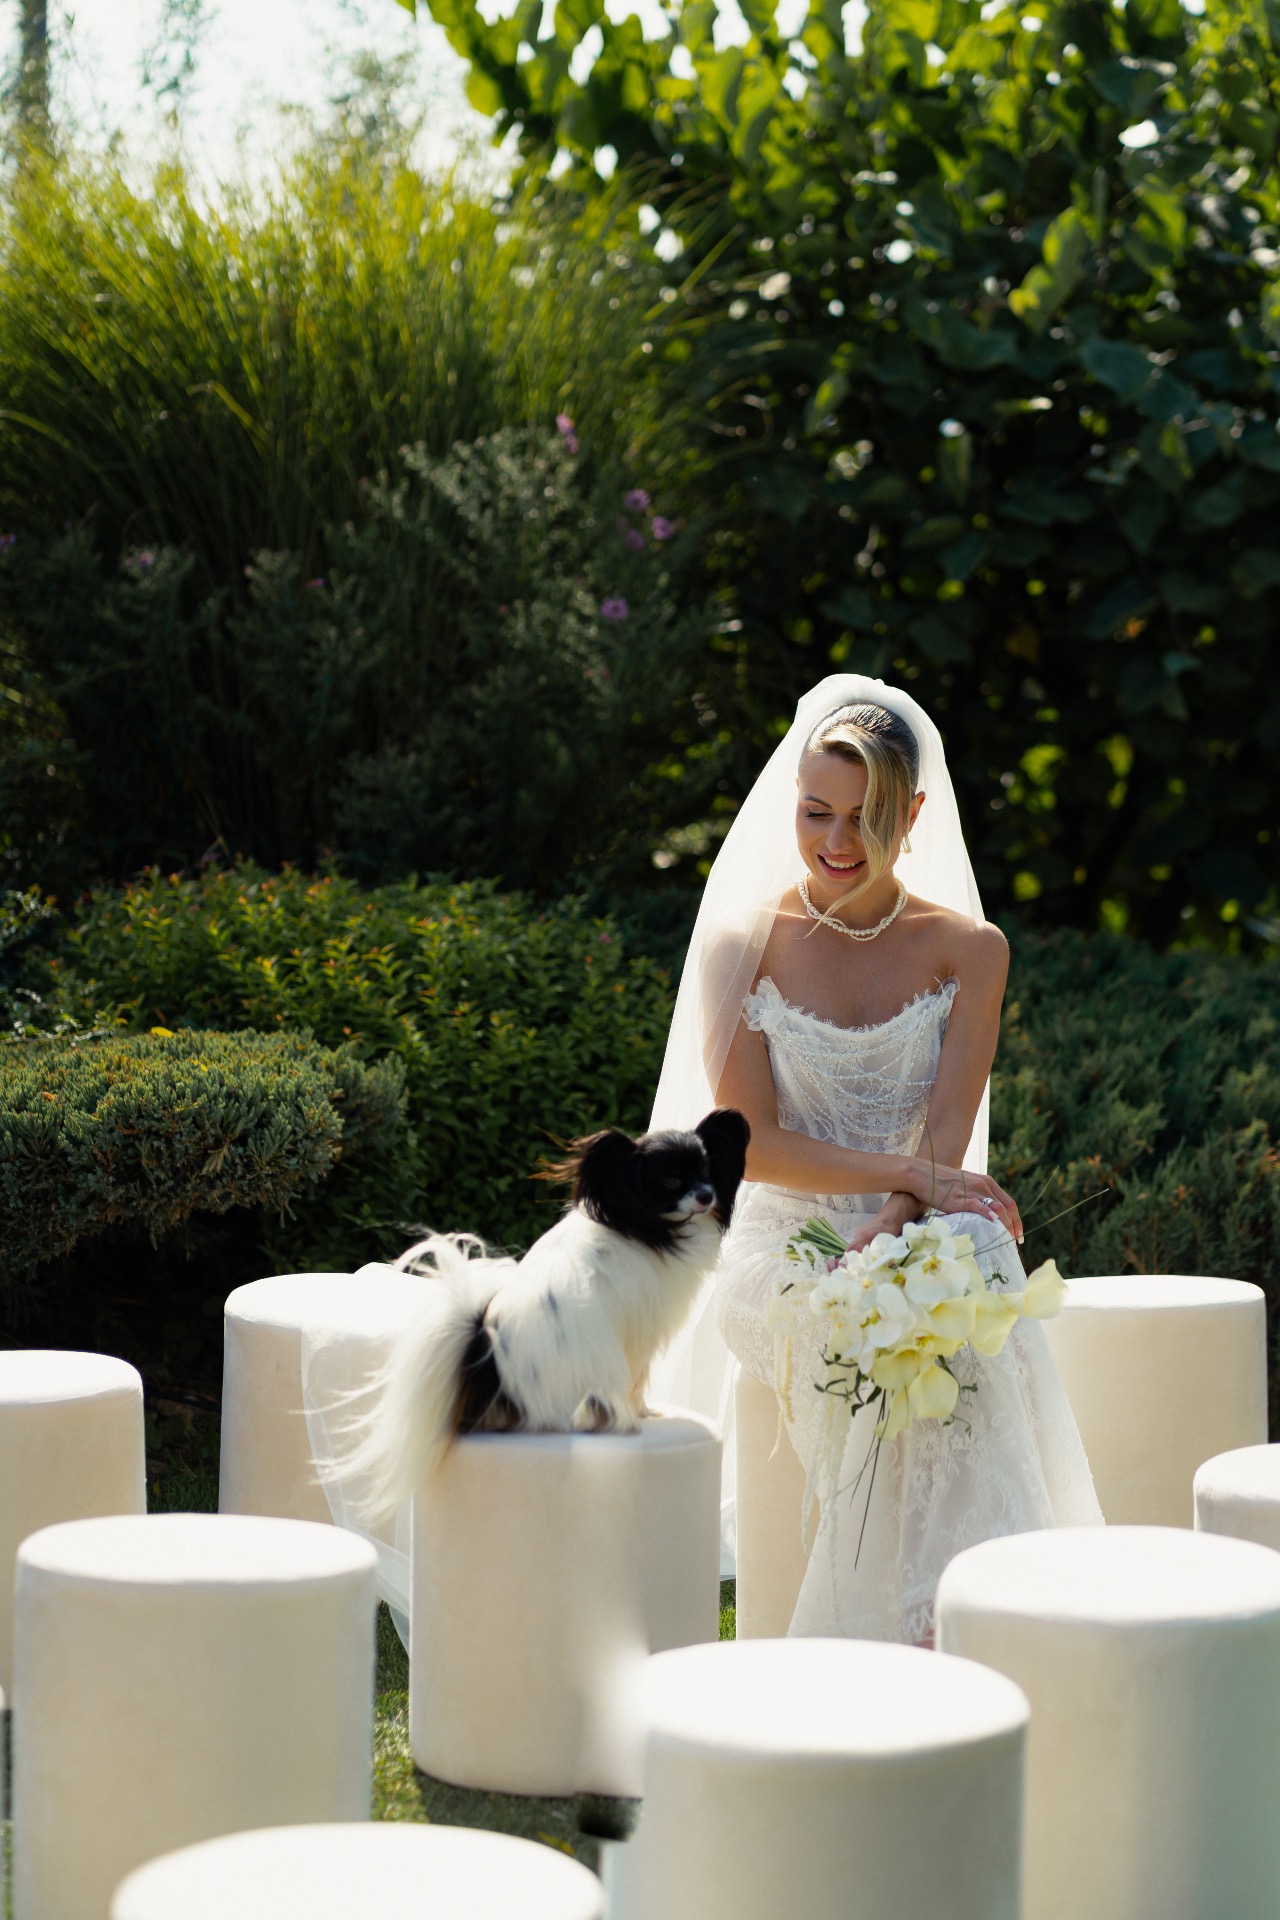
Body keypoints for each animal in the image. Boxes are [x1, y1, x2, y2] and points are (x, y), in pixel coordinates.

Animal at [349, 1107, 749, 1521]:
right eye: (671, 1181)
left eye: (707, 1171)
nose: (706, 1195)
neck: (641, 1224)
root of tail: (488, 1354)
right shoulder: (638, 1331)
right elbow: (638, 1380)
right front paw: (644, 1412)